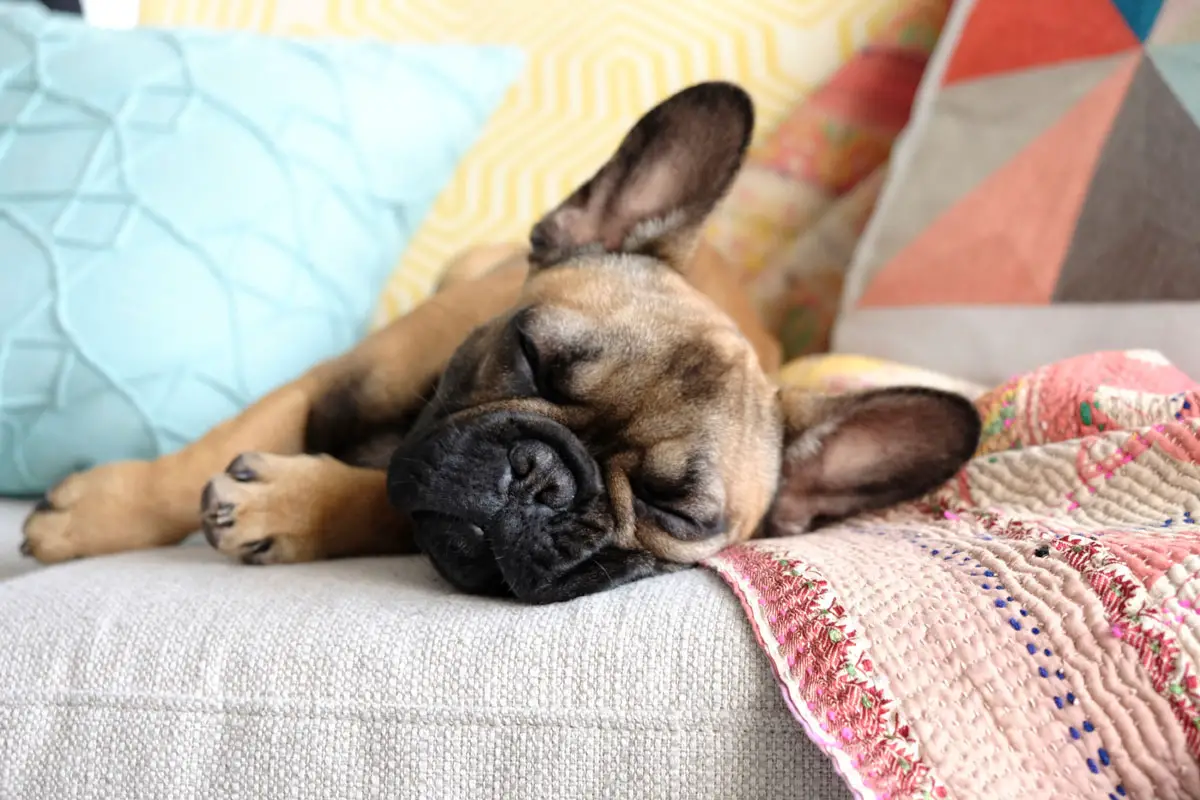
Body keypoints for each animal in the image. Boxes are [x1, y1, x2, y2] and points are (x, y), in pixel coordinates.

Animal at [16, 82, 974, 606]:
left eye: (675, 512)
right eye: (530, 355)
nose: (544, 478)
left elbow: (383, 499)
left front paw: (285, 506)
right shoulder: (334, 382)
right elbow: (204, 453)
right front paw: (96, 514)